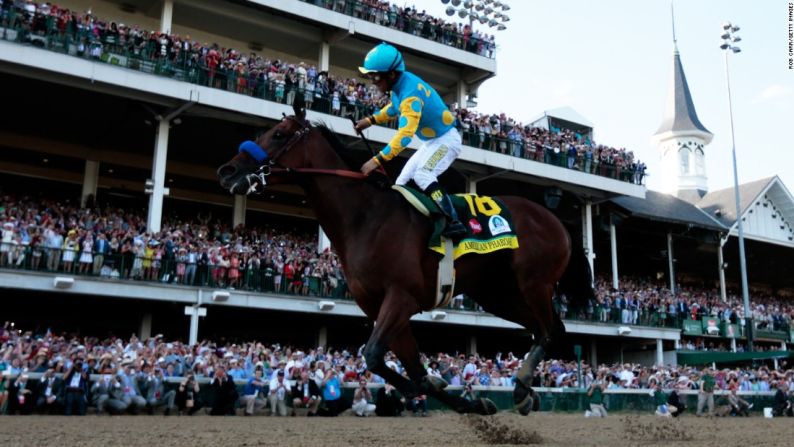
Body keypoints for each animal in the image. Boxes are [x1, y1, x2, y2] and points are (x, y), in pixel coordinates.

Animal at [213, 99, 592, 416]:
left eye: (277, 134)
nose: (227, 171)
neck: (365, 217)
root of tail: (555, 218)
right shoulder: (379, 305)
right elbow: (408, 368)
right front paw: (468, 400)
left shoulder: (400, 297)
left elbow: (373, 355)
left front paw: (432, 392)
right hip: (496, 294)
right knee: (542, 329)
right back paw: (525, 391)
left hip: (534, 282)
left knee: (550, 329)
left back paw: (523, 387)